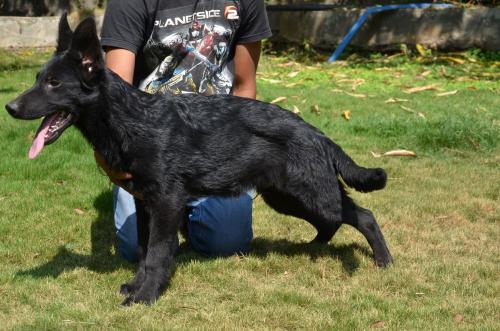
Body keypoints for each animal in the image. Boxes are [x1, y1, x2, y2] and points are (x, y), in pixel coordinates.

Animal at [4, 15, 394, 306]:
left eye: (54, 83)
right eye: (38, 79)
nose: (9, 107)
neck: (129, 119)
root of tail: (316, 133)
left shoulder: (165, 205)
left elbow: (158, 254)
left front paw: (146, 296)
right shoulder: (146, 205)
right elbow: (144, 252)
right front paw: (137, 286)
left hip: (309, 194)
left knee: (362, 215)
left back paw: (384, 261)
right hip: (285, 196)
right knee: (334, 221)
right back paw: (313, 248)